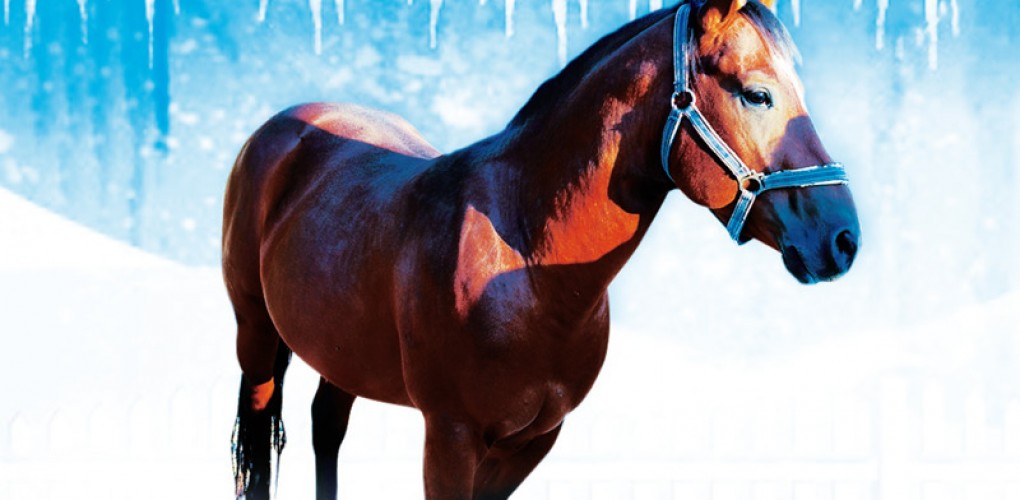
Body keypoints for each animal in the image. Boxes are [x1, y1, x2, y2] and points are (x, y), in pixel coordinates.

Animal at [223, 0, 860, 498]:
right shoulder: (450, 437)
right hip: (254, 333)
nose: (843, 238)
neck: (525, 261)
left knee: (325, 427)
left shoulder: (531, 443)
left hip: (342, 351)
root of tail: (286, 126)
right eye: (757, 94)